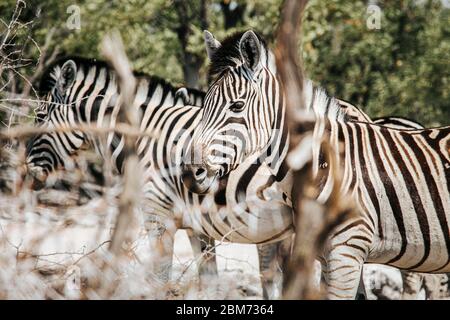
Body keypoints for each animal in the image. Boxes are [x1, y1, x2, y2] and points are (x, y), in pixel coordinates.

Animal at [24, 56, 292, 298]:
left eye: (40, 117)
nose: (28, 172)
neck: (147, 137)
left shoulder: (157, 217)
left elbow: (159, 281)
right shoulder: (197, 226)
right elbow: (210, 284)